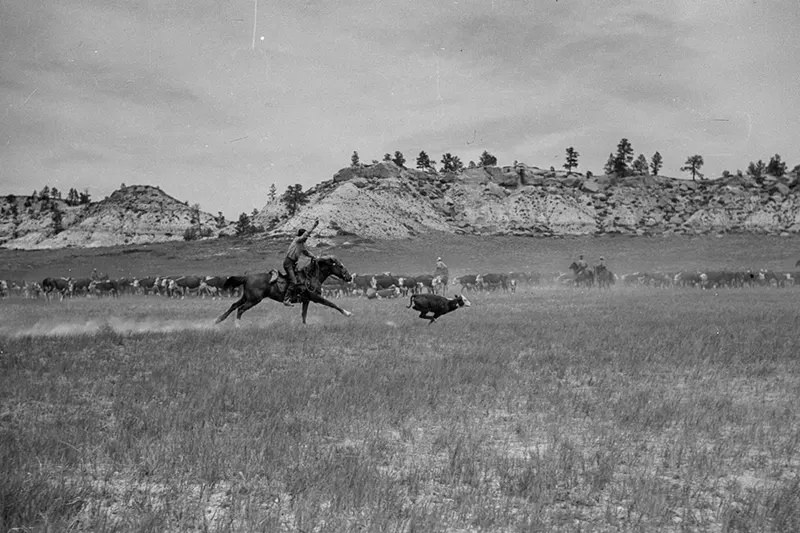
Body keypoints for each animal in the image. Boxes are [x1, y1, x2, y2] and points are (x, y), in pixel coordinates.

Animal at [216, 255, 354, 324]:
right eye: (341, 266)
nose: (349, 277)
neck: (311, 276)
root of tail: (247, 277)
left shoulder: (306, 300)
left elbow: (304, 315)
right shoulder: (315, 297)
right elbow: (332, 304)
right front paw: (347, 313)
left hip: (247, 297)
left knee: (234, 305)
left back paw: (219, 320)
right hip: (253, 300)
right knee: (240, 309)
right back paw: (237, 326)